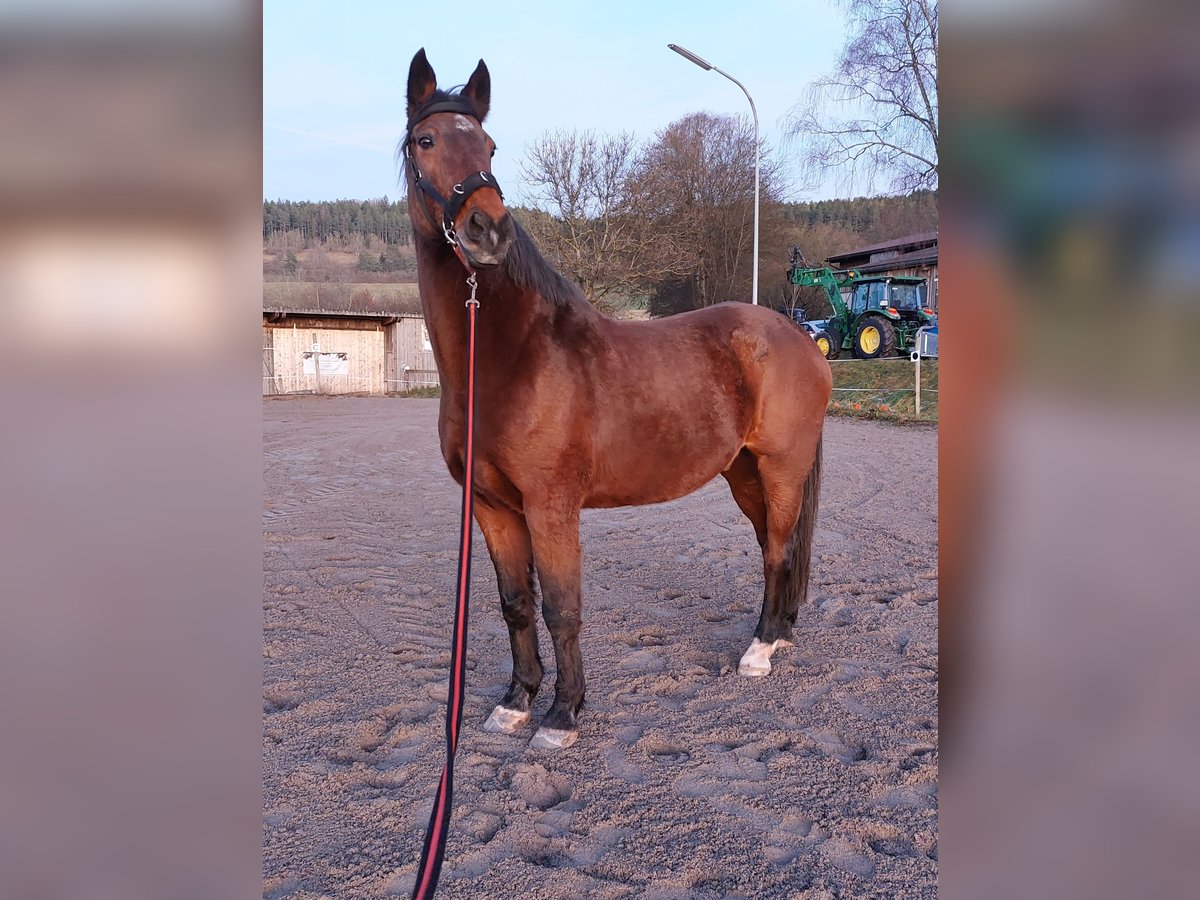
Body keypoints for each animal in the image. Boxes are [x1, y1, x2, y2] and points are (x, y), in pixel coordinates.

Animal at [398, 49, 830, 753]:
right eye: (427, 140)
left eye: (489, 146)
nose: (487, 230)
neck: (512, 358)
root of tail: (800, 337)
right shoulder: (492, 507)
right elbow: (515, 604)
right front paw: (515, 703)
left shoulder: (551, 506)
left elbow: (561, 607)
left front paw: (562, 714)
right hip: (743, 473)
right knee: (778, 548)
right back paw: (778, 634)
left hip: (781, 468)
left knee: (779, 549)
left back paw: (761, 651)